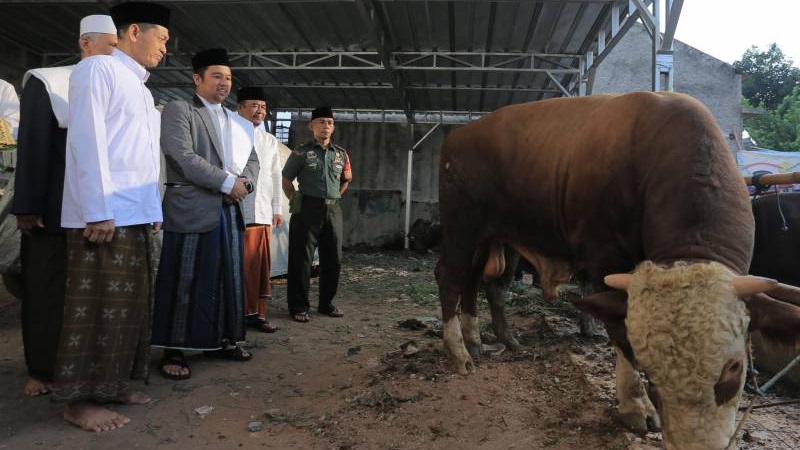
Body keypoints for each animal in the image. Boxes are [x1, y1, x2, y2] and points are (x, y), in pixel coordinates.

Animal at [434, 92, 800, 450]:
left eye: (735, 369)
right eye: (651, 373)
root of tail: (461, 133)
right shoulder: (605, 257)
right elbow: (620, 335)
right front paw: (636, 406)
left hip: (499, 237)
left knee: (482, 284)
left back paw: (488, 340)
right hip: (462, 226)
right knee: (450, 276)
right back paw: (459, 352)